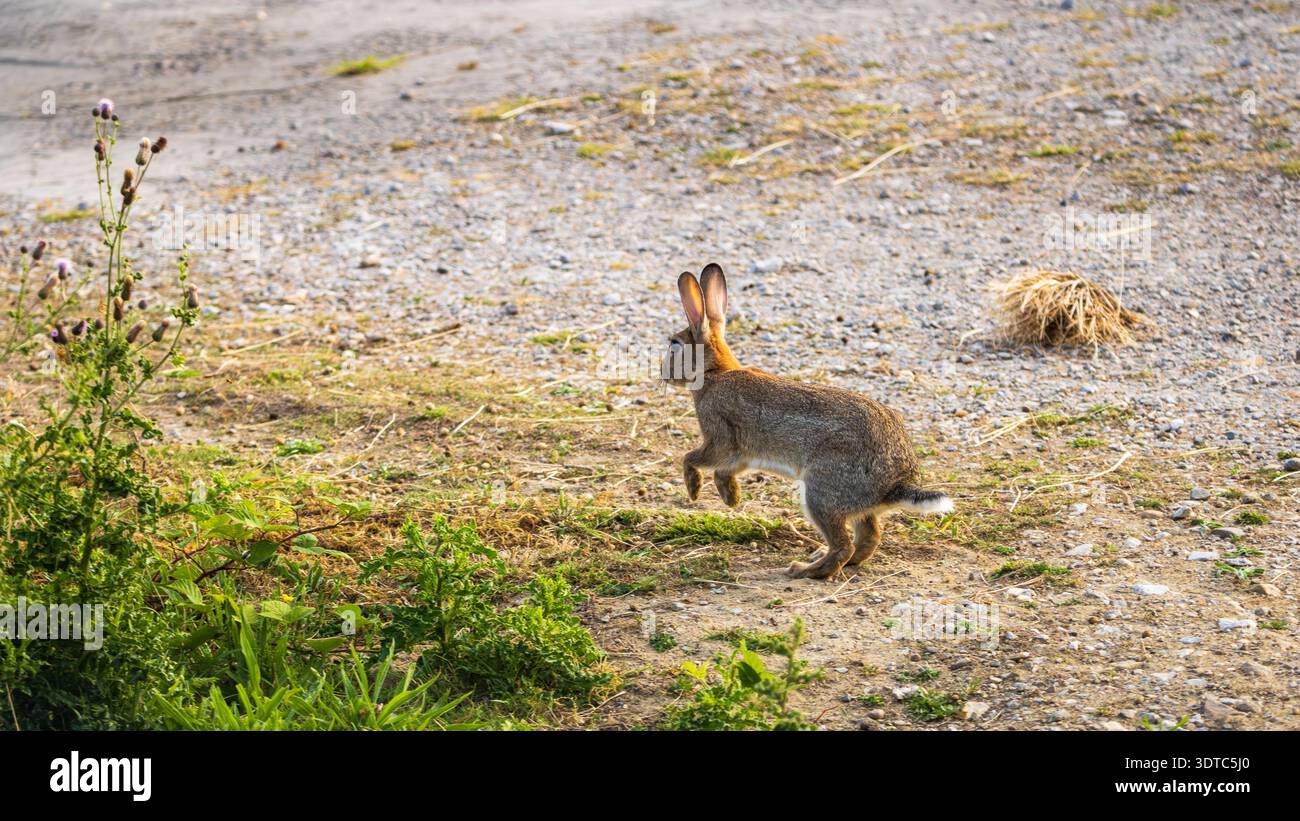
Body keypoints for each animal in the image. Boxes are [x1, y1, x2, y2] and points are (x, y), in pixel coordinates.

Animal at [662, 263, 953, 580]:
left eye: (675, 344)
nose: (664, 374)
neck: (714, 372)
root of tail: (895, 484)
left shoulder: (719, 438)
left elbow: (692, 458)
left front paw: (694, 490)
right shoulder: (740, 455)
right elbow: (724, 471)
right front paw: (732, 499)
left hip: (820, 493)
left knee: (843, 545)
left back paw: (803, 569)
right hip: (850, 504)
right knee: (868, 538)